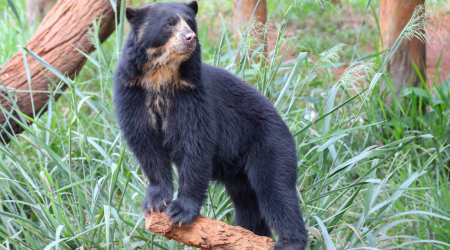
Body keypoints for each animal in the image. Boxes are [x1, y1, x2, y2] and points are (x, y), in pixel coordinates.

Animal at [114, 1, 308, 248]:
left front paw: (180, 212)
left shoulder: (192, 96)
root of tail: (284, 124)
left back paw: (288, 241)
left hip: (270, 145)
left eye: (190, 21)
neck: (161, 75)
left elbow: (195, 146)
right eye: (169, 23)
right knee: (249, 204)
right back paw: (250, 233)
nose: (190, 37)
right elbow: (146, 145)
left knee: (276, 190)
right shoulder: (132, 92)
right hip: (240, 174)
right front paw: (155, 202)